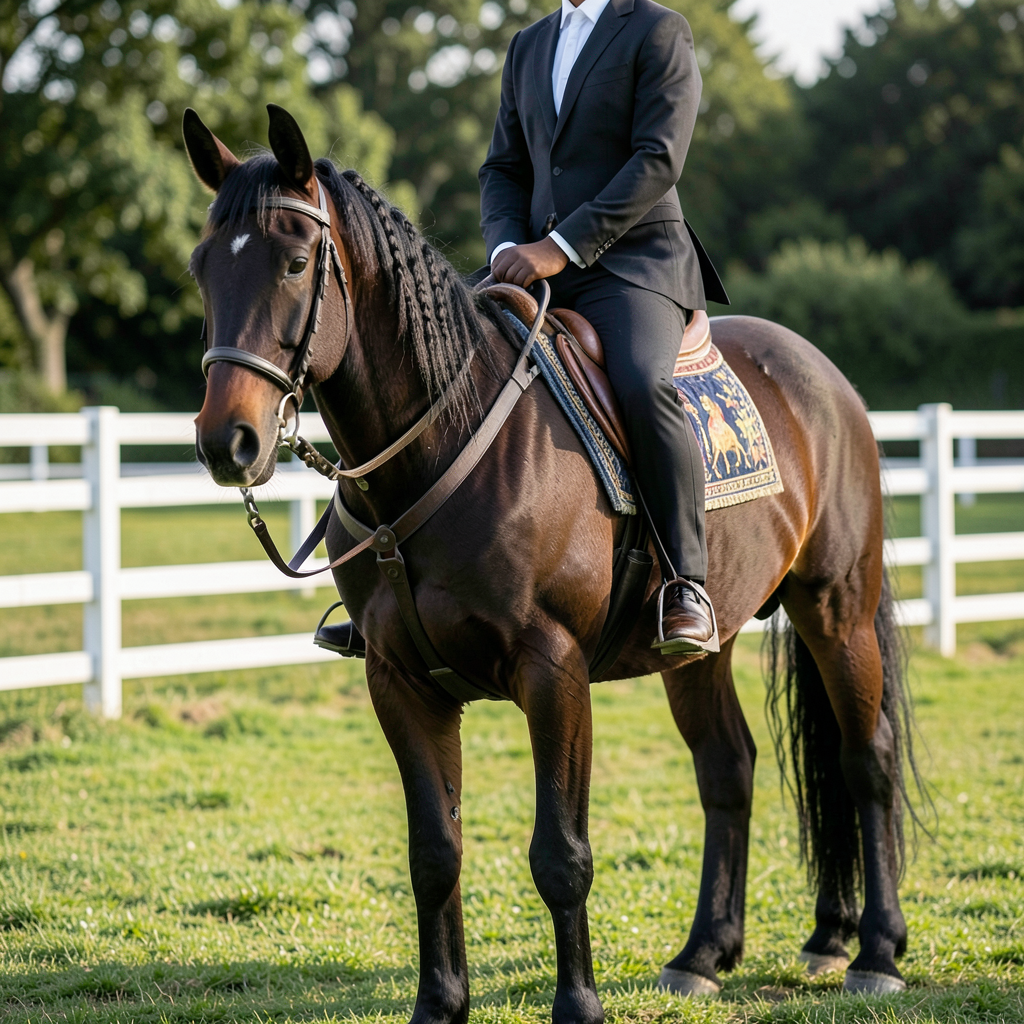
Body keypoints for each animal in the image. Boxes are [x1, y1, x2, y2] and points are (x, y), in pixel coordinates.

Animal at [185, 104, 920, 1020]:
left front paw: (578, 1005)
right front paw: (440, 1005)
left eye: (292, 262)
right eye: (201, 269)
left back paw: (876, 952)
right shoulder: (399, 681)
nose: (228, 443)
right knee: (729, 768)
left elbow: (561, 856)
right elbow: (434, 853)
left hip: (835, 608)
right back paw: (707, 954)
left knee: (866, 759)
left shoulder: (553, 672)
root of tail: (823, 376)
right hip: (703, 646)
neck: (442, 443)